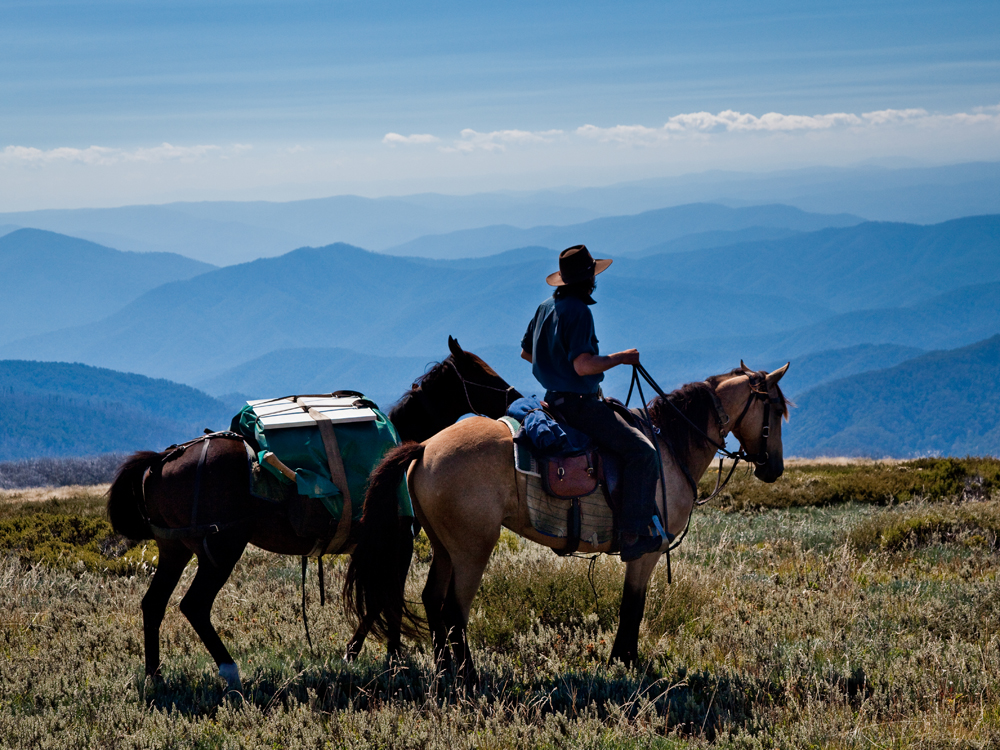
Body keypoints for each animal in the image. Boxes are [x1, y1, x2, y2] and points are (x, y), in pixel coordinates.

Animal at [105, 338, 520, 696]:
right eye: (481, 372)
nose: (516, 397)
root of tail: (160, 462)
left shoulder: (374, 546)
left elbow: (374, 602)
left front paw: (354, 655)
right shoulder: (396, 542)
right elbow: (386, 599)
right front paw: (393, 662)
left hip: (175, 549)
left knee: (153, 604)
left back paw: (155, 676)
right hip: (220, 549)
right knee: (194, 606)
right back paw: (230, 672)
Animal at [344, 362, 788, 688]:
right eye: (776, 411)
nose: (774, 468)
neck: (669, 447)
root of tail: (424, 447)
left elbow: (631, 606)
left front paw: (621, 661)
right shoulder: (645, 551)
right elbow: (633, 606)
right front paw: (626, 662)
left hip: (444, 547)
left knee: (433, 600)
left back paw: (444, 672)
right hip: (473, 549)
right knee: (454, 609)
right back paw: (469, 677)